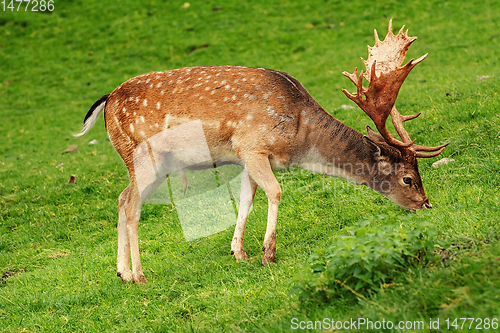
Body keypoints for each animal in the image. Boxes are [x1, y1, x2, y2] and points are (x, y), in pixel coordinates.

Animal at [73, 18, 450, 282]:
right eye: (407, 178)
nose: (426, 204)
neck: (299, 135)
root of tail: (105, 102)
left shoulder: (245, 158)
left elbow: (246, 200)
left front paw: (239, 252)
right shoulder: (252, 146)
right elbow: (275, 191)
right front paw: (268, 252)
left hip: (140, 162)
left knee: (122, 198)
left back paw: (122, 272)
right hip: (144, 155)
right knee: (132, 204)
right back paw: (138, 274)